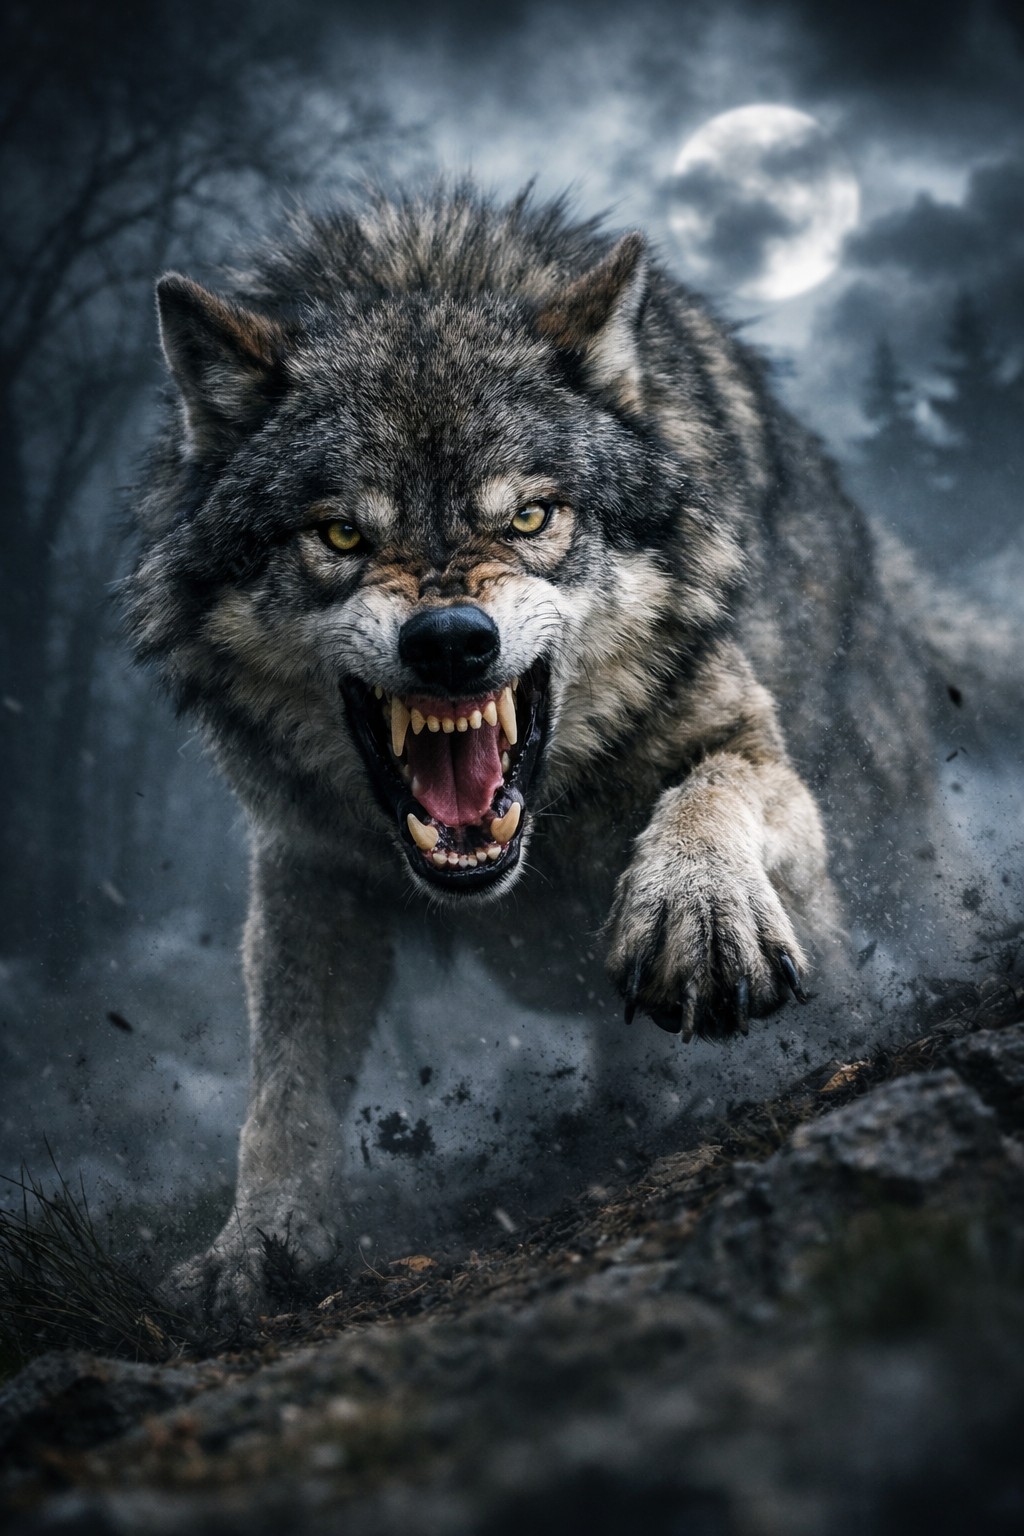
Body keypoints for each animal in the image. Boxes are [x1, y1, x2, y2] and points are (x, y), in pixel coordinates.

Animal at [126, 184, 954, 1321]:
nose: (449, 642)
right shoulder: (307, 869)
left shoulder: (747, 751)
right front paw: (255, 1245)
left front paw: (699, 911)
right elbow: (281, 1091)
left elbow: (710, 801)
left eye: (528, 515)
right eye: (340, 536)